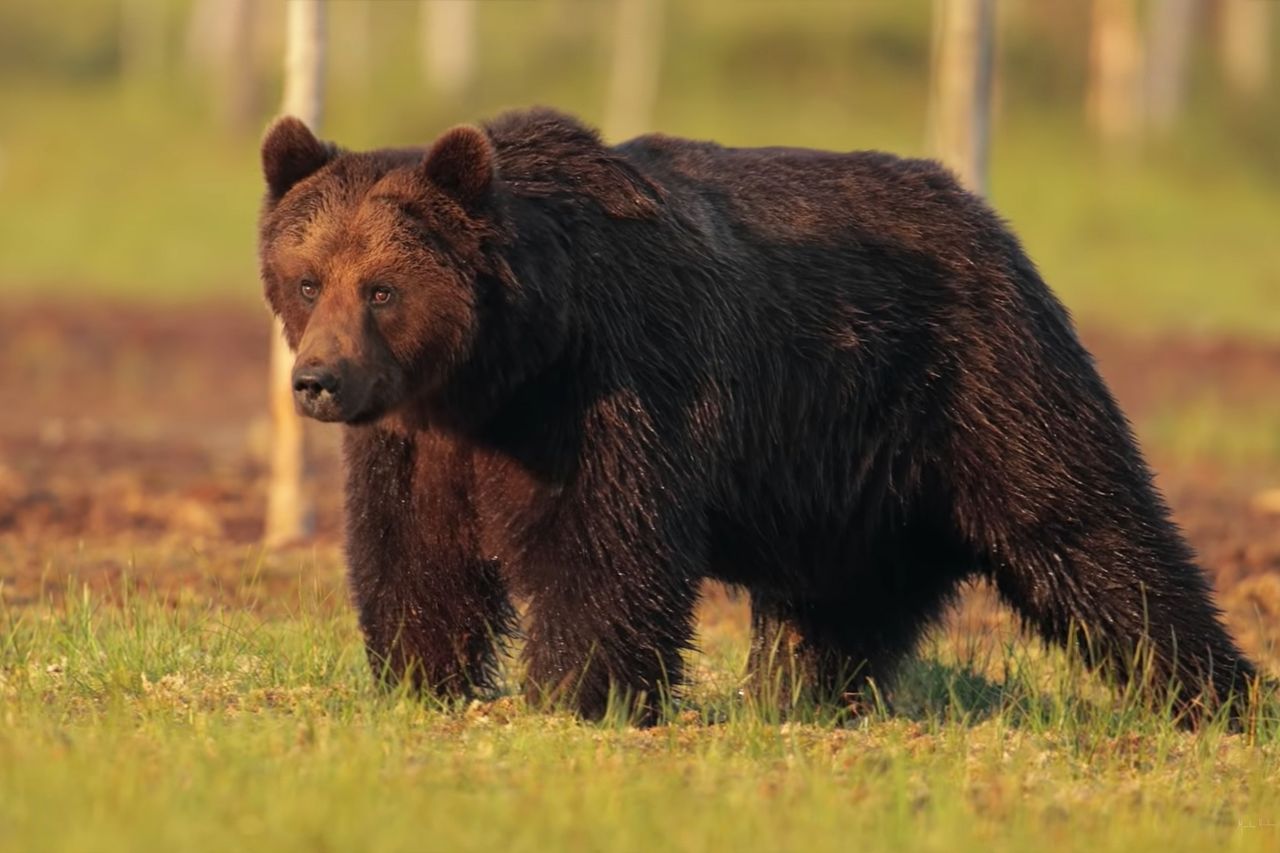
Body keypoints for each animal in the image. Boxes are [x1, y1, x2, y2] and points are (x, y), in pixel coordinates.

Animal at [254, 104, 1254, 717]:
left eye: (381, 288)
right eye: (306, 278)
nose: (318, 380)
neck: (500, 369)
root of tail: (985, 216)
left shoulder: (610, 387)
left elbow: (602, 547)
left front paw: (575, 691)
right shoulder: (419, 441)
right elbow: (415, 557)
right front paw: (422, 677)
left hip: (980, 381)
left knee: (1089, 529)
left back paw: (1212, 692)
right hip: (851, 478)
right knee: (841, 600)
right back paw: (803, 694)